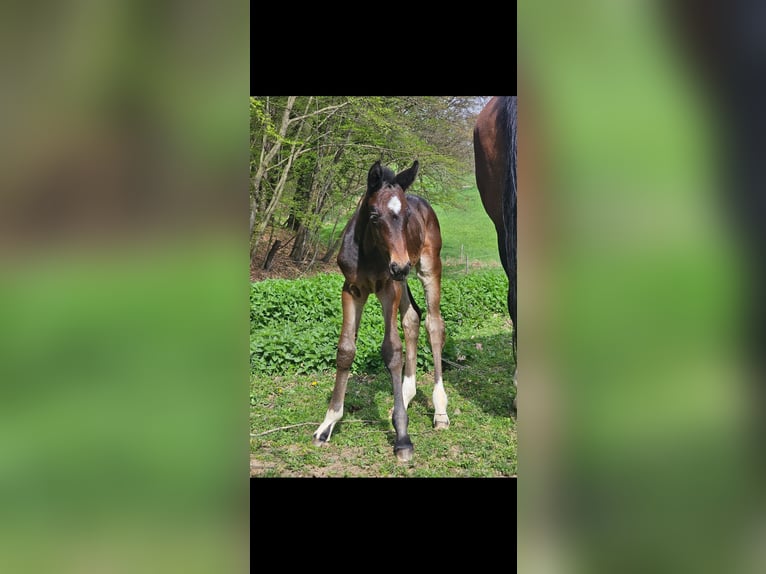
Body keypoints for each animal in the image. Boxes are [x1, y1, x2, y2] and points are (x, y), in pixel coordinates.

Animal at [312, 161, 450, 464]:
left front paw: (402, 437)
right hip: (404, 279)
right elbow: (346, 350)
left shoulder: (389, 287)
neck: (369, 251)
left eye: (407, 216)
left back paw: (440, 410)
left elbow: (392, 350)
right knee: (412, 318)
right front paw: (328, 423)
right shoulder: (352, 289)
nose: (398, 265)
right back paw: (406, 395)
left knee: (434, 324)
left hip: (426, 267)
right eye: (374, 215)